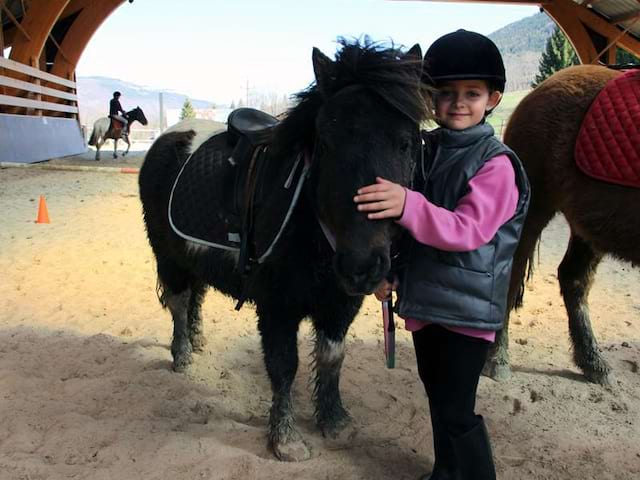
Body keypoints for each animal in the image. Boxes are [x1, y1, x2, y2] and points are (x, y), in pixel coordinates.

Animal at [139, 41, 430, 462]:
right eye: (325, 142)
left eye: (406, 142)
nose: (361, 265)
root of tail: (168, 138)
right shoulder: (277, 306)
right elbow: (283, 366)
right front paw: (285, 439)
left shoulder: (340, 304)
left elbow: (331, 358)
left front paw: (335, 422)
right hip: (168, 255)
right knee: (179, 300)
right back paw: (183, 355)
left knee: (197, 295)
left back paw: (197, 339)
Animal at [488, 64, 636, 386]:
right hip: (534, 209)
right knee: (512, 272)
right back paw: (497, 360)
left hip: (591, 227)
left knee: (573, 279)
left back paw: (593, 363)